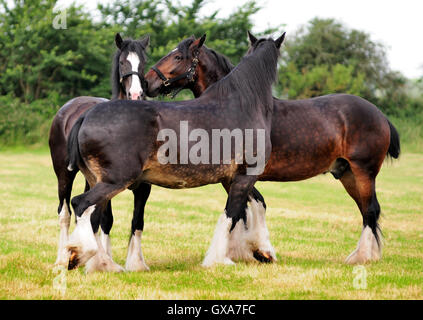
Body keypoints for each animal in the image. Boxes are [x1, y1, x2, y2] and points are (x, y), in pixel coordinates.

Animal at [49, 33, 151, 272]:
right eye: (122, 62)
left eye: (143, 62)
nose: (136, 94)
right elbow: (105, 219)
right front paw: (104, 263)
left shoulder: (143, 188)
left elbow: (135, 220)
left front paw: (136, 263)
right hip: (64, 174)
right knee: (65, 213)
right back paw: (62, 259)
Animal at [63, 33, 286, 270]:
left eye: (178, 56)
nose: (148, 83)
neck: (242, 104)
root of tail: (86, 115)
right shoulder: (245, 177)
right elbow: (231, 215)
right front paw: (221, 259)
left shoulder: (232, 179)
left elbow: (249, 208)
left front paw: (258, 251)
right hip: (114, 181)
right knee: (81, 204)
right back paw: (81, 254)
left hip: (98, 181)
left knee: (93, 214)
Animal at [144, 31, 402, 264]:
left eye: (178, 57)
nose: (147, 82)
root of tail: (379, 115)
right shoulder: (233, 178)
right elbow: (250, 208)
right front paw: (251, 251)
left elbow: (242, 211)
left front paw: (250, 252)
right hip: (347, 174)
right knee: (368, 211)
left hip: (364, 172)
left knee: (370, 210)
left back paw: (363, 257)